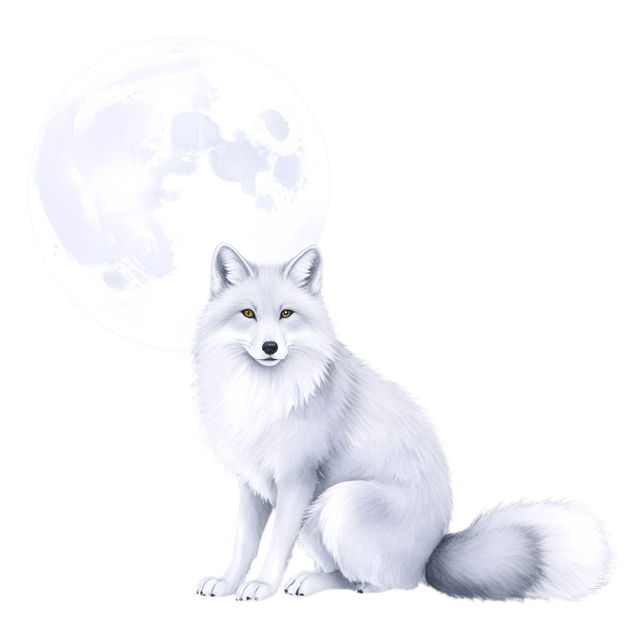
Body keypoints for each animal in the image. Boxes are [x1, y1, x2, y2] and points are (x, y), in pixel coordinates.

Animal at [190, 242, 616, 603]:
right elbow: (243, 544)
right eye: (248, 314)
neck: (261, 396)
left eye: (286, 314)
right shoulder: (254, 483)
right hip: (318, 518)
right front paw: (229, 583)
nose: (270, 348)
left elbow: (276, 545)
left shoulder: (297, 479)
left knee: (383, 584)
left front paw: (262, 586)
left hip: (337, 502)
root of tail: (431, 555)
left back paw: (320, 583)